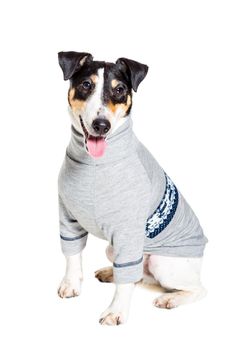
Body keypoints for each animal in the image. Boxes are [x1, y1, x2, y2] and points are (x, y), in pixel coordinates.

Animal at [56, 51, 208, 326]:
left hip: (161, 262)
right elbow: (72, 254)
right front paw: (70, 284)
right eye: (86, 85)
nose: (101, 125)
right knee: (137, 275)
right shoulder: (68, 216)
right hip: (112, 248)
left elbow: (126, 281)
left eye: (120, 90)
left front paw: (116, 311)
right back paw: (110, 273)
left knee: (197, 289)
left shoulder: (127, 230)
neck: (94, 164)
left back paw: (171, 298)